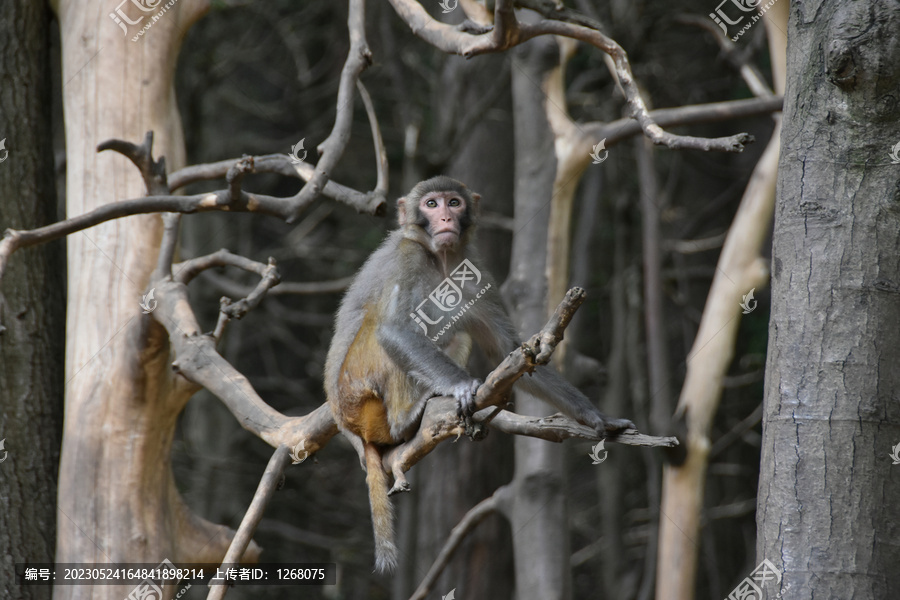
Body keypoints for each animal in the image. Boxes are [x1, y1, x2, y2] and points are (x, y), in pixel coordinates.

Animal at [326, 177, 636, 572]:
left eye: (454, 202)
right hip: (359, 396)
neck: (441, 259)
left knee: (456, 333)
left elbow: (510, 350)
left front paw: (596, 416)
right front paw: (462, 386)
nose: (445, 216)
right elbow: (394, 329)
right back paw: (404, 421)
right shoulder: (406, 258)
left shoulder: (473, 270)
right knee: (383, 326)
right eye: (431, 204)